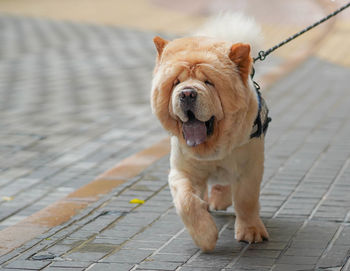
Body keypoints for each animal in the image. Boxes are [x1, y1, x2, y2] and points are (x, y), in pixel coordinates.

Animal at [151, 13, 270, 253]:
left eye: (208, 82)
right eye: (176, 82)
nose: (187, 93)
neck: (211, 148)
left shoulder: (249, 167)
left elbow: (246, 200)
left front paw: (251, 232)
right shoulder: (182, 170)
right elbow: (187, 202)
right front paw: (205, 237)